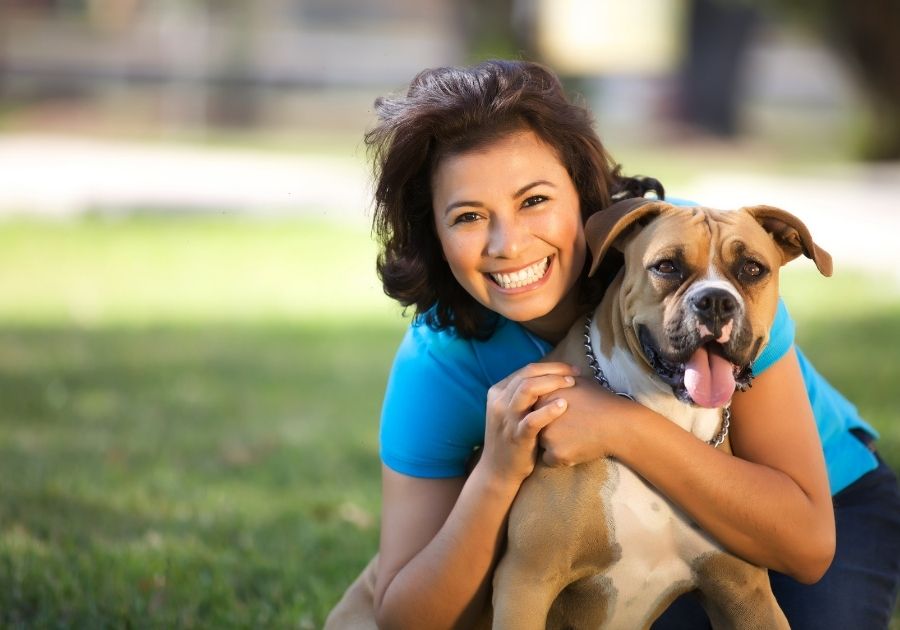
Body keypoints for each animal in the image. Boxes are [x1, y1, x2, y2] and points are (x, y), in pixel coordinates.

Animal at [488, 201, 832, 630]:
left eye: (752, 269)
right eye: (667, 266)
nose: (716, 301)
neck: (668, 420)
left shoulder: (745, 592)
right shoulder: (527, 579)